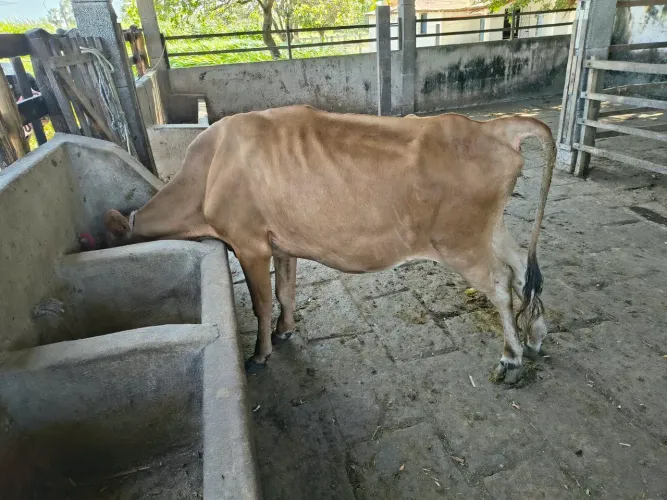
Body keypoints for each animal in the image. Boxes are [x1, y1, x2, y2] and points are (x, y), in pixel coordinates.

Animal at [104, 105, 554, 384]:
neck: (207, 172)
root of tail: (492, 127)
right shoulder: (282, 244)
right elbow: (285, 292)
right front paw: (285, 331)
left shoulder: (250, 244)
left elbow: (262, 302)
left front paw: (260, 353)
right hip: (489, 229)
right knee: (521, 267)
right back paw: (535, 337)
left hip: (460, 241)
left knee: (500, 283)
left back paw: (511, 356)